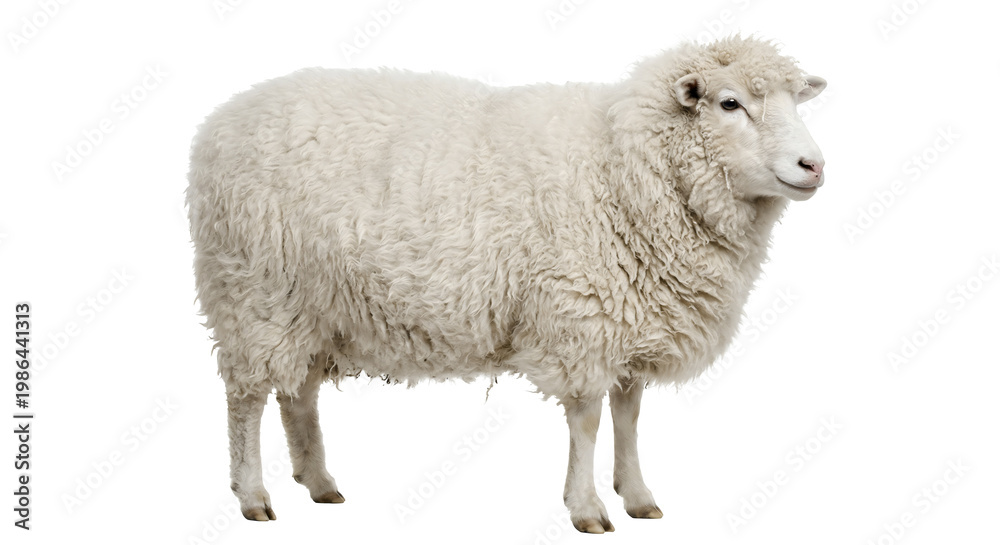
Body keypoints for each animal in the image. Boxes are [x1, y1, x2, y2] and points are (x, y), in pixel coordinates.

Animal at [186, 36, 826, 533]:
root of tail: (222, 119)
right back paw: (253, 495)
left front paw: (639, 496)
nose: (814, 165)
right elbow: (589, 419)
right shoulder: (583, 316)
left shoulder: (630, 318)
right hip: (254, 292)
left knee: (297, 393)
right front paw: (587, 507)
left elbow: (629, 415)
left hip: (311, 305)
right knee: (246, 399)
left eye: (797, 100)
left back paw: (319, 482)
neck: (625, 167)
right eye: (729, 102)